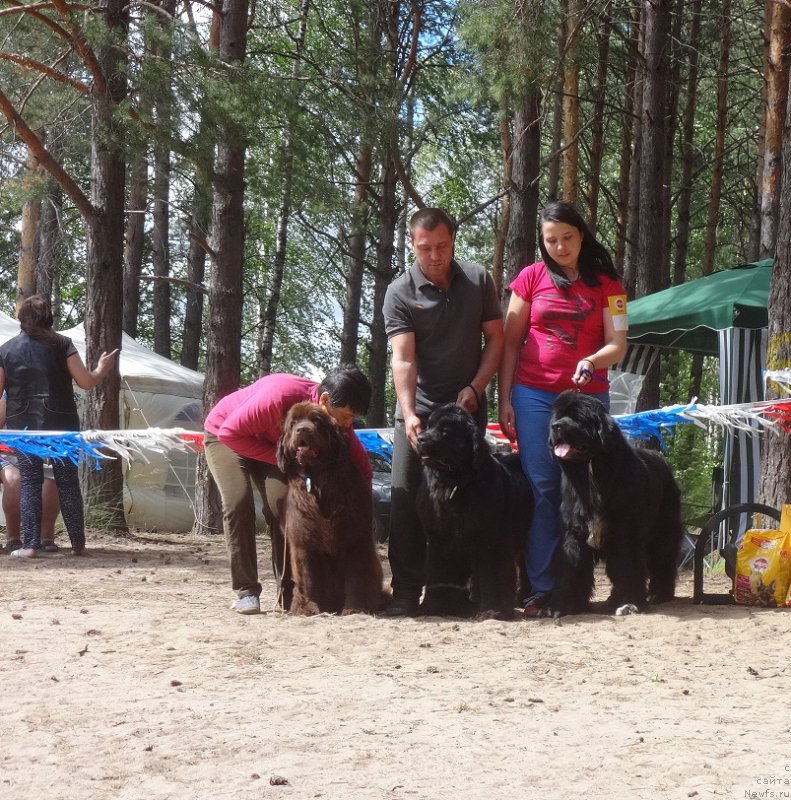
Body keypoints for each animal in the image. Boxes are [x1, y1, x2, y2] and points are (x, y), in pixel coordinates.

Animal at [276, 404, 386, 616]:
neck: (317, 480)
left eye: (316, 421)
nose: (302, 429)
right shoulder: (303, 540)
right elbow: (306, 576)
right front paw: (307, 607)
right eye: (293, 424)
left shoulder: (354, 536)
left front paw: (355, 607)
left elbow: (356, 575)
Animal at [414, 406, 532, 620]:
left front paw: (494, 610)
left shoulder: (491, 540)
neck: (455, 483)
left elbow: (493, 576)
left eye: (445, 431)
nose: (420, 439)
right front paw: (436, 607)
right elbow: (439, 572)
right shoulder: (439, 539)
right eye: (428, 426)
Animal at [548, 390, 684, 616]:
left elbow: (627, 567)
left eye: (578, 417)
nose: (556, 426)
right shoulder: (574, 532)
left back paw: (659, 594)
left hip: (663, 527)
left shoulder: (624, 532)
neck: (590, 472)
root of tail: (661, 459)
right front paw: (562, 605)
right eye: (558, 416)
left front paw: (629, 601)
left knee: (663, 558)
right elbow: (572, 566)